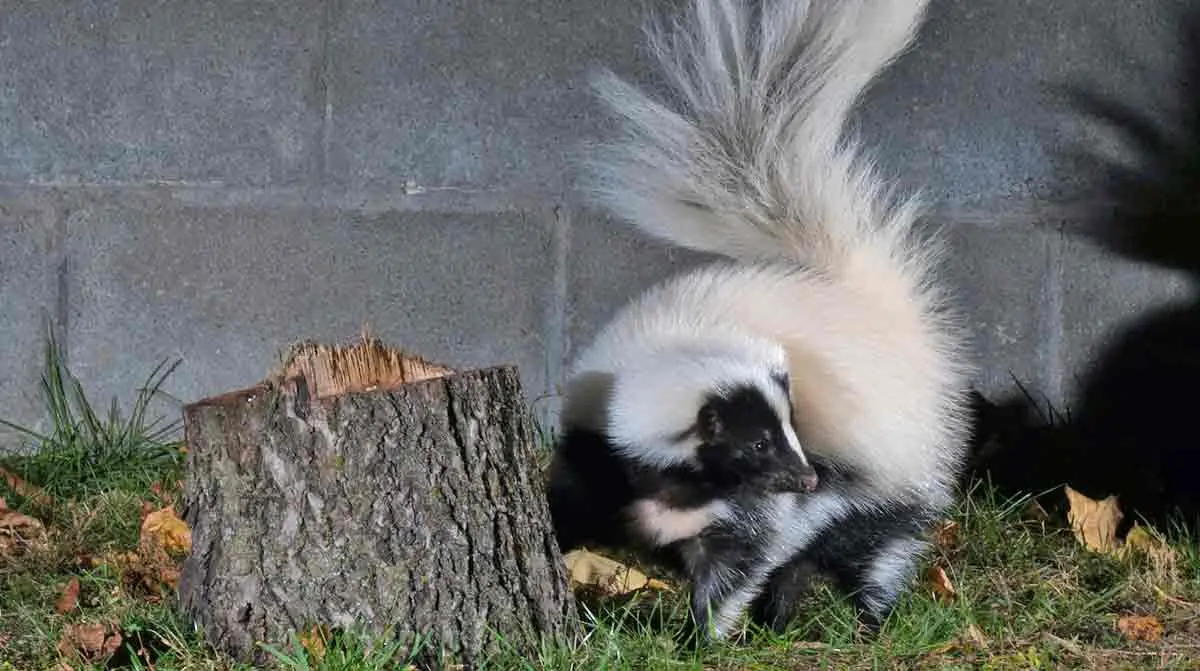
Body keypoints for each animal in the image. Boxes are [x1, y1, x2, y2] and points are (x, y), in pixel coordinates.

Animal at [547, 0, 974, 643]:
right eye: (756, 444)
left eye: (793, 428)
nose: (808, 479)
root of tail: (870, 307)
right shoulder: (596, 456)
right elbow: (568, 510)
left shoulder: (753, 510)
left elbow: (742, 561)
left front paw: (698, 638)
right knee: (814, 561)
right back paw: (783, 622)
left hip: (890, 479)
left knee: (878, 552)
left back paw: (866, 622)